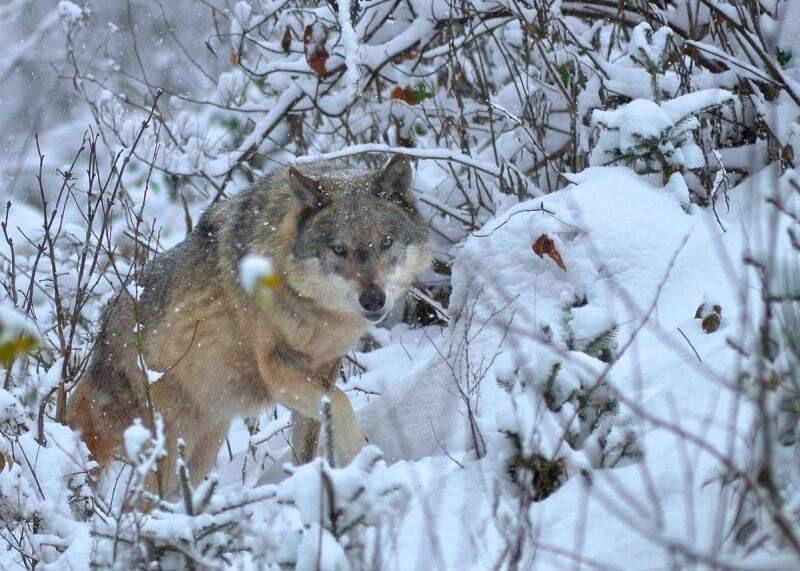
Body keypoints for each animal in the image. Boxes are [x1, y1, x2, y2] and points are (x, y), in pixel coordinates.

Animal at [69, 154, 432, 494]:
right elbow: (342, 403)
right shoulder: (277, 370)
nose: (373, 300)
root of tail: (101, 338)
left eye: (386, 242)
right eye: (338, 249)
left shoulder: (325, 367)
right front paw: (365, 463)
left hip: (206, 443)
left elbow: (310, 442)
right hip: (170, 444)